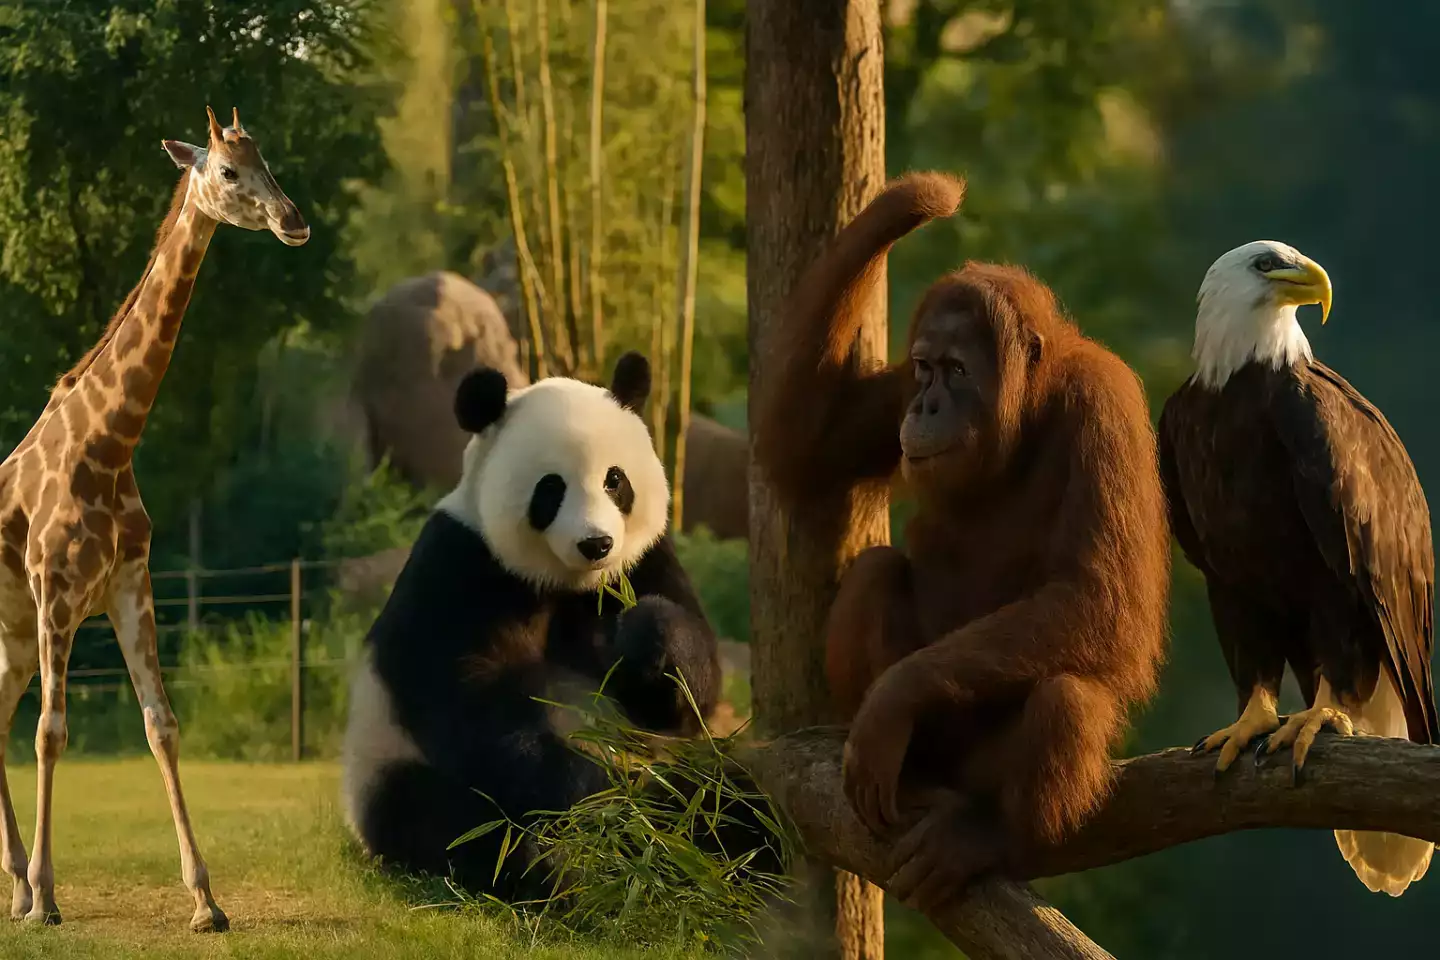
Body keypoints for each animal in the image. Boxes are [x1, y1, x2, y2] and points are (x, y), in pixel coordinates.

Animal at [340, 351, 748, 900]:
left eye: (614, 480)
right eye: (551, 489)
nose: (596, 543)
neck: (566, 582)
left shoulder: (644, 560)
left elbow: (688, 695)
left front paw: (647, 637)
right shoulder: (459, 564)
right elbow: (469, 698)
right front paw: (593, 790)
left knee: (731, 796)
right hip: (391, 770)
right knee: (461, 825)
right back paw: (573, 866)